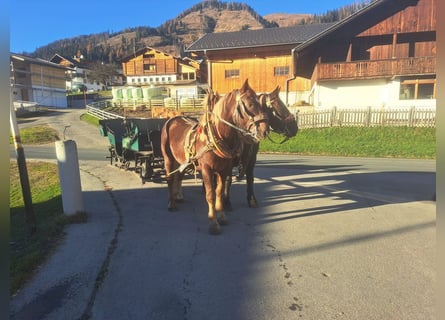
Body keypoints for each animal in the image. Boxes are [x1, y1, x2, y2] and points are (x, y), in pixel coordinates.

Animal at [161, 79, 268, 235]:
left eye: (260, 103)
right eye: (249, 104)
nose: (264, 130)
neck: (215, 137)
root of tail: (173, 119)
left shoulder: (224, 170)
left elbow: (219, 192)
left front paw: (222, 216)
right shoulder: (206, 169)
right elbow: (210, 194)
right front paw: (213, 222)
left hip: (183, 161)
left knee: (179, 175)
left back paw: (177, 196)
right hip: (168, 159)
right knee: (169, 178)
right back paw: (171, 203)